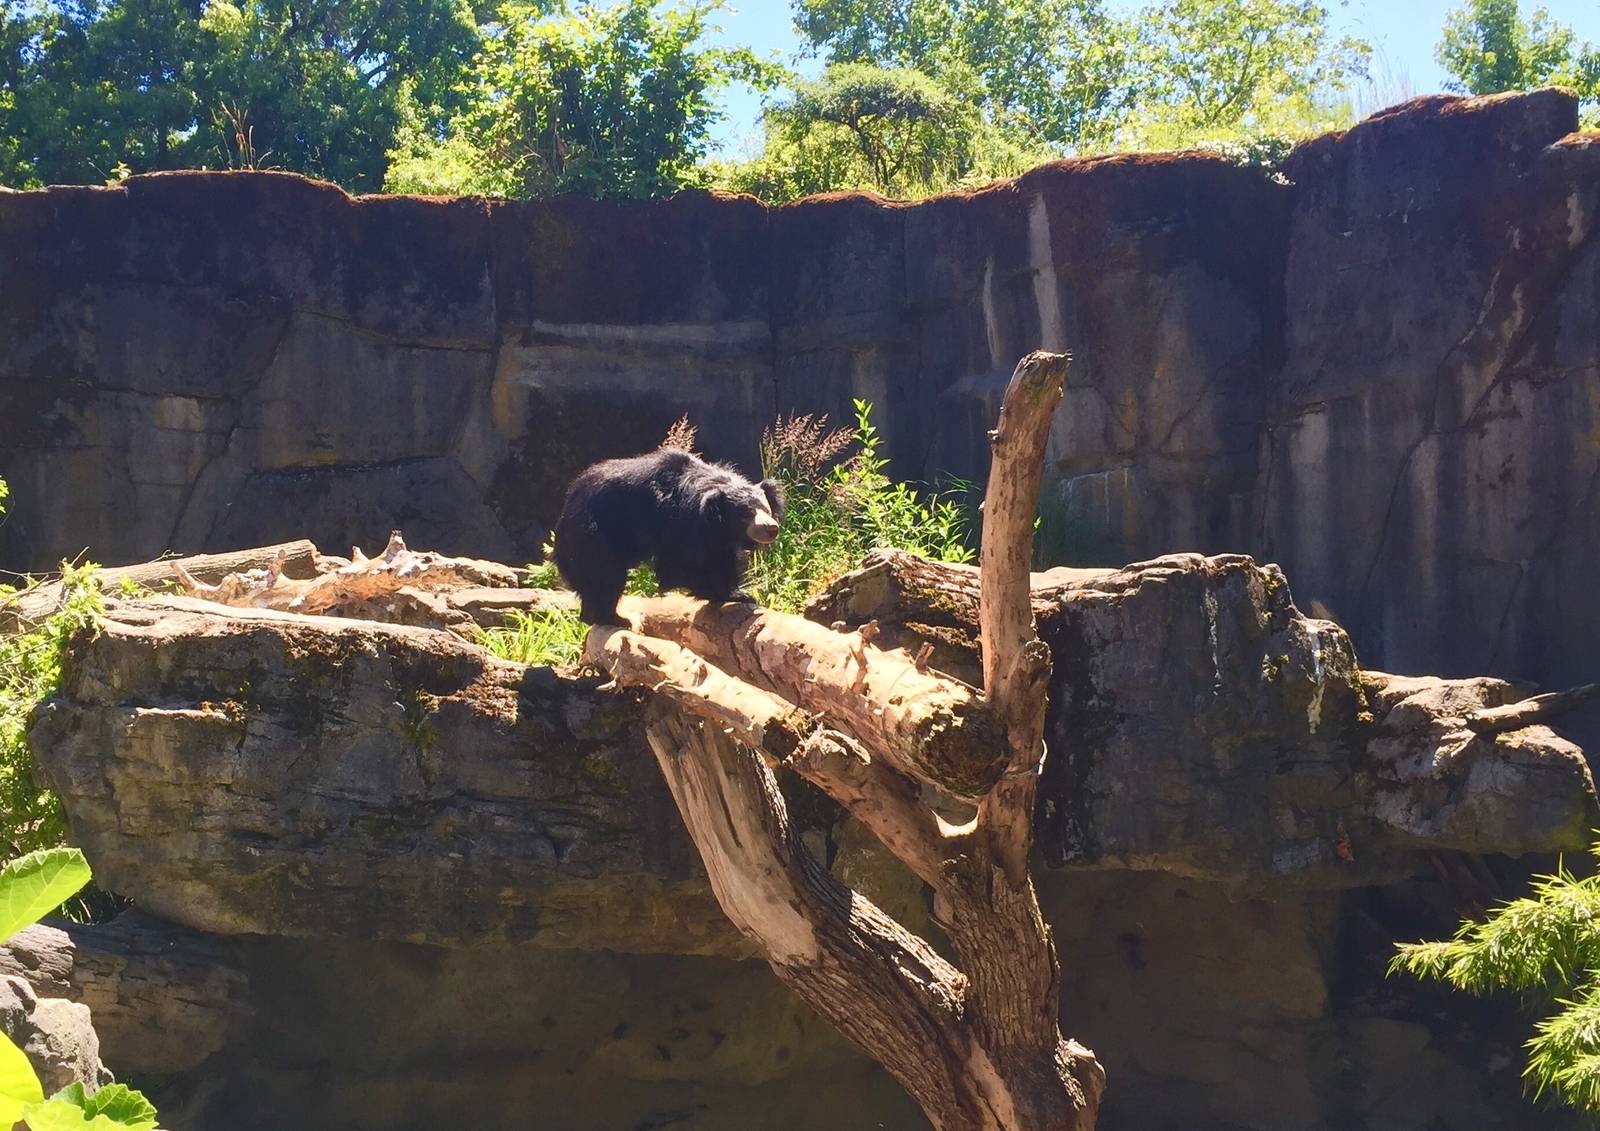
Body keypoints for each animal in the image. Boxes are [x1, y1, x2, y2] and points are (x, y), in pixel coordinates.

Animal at [553, 447, 787, 626]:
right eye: (746, 514)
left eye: (766, 509)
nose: (771, 528)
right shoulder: (676, 524)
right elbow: (678, 565)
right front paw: (716, 592)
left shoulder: (715, 534)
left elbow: (721, 557)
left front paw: (739, 594)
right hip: (593, 536)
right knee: (606, 575)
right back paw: (612, 619)